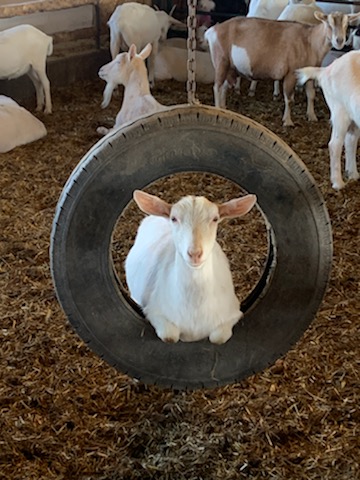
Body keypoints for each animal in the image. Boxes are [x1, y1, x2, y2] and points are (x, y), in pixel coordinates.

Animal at [125, 189, 258, 344]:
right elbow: (170, 336)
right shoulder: (154, 310)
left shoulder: (232, 313)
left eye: (215, 219)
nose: (194, 253)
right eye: (174, 218)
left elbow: (218, 338)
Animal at [205, 11, 360, 126]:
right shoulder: (291, 73)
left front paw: (312, 116)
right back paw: (218, 109)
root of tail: (213, 30)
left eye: (346, 25)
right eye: (328, 24)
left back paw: (224, 109)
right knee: (217, 87)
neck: (309, 42)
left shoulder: (309, 73)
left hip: (230, 66)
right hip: (221, 61)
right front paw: (288, 121)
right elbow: (289, 99)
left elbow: (311, 95)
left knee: (224, 87)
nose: (339, 41)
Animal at [296, 50, 360, 189]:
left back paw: (353, 174)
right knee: (334, 145)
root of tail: (325, 70)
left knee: (350, 140)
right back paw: (338, 183)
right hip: (339, 110)